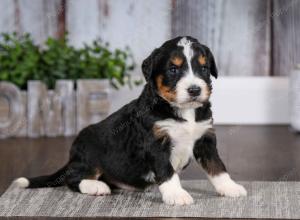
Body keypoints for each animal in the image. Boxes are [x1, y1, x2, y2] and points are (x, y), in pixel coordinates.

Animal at [14, 36, 246, 206]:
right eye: (173, 69)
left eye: (204, 69)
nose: (195, 90)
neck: (182, 111)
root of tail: (72, 157)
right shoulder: (156, 143)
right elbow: (168, 172)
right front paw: (176, 195)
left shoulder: (205, 138)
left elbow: (218, 167)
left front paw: (231, 188)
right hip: (90, 154)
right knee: (72, 179)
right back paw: (97, 187)